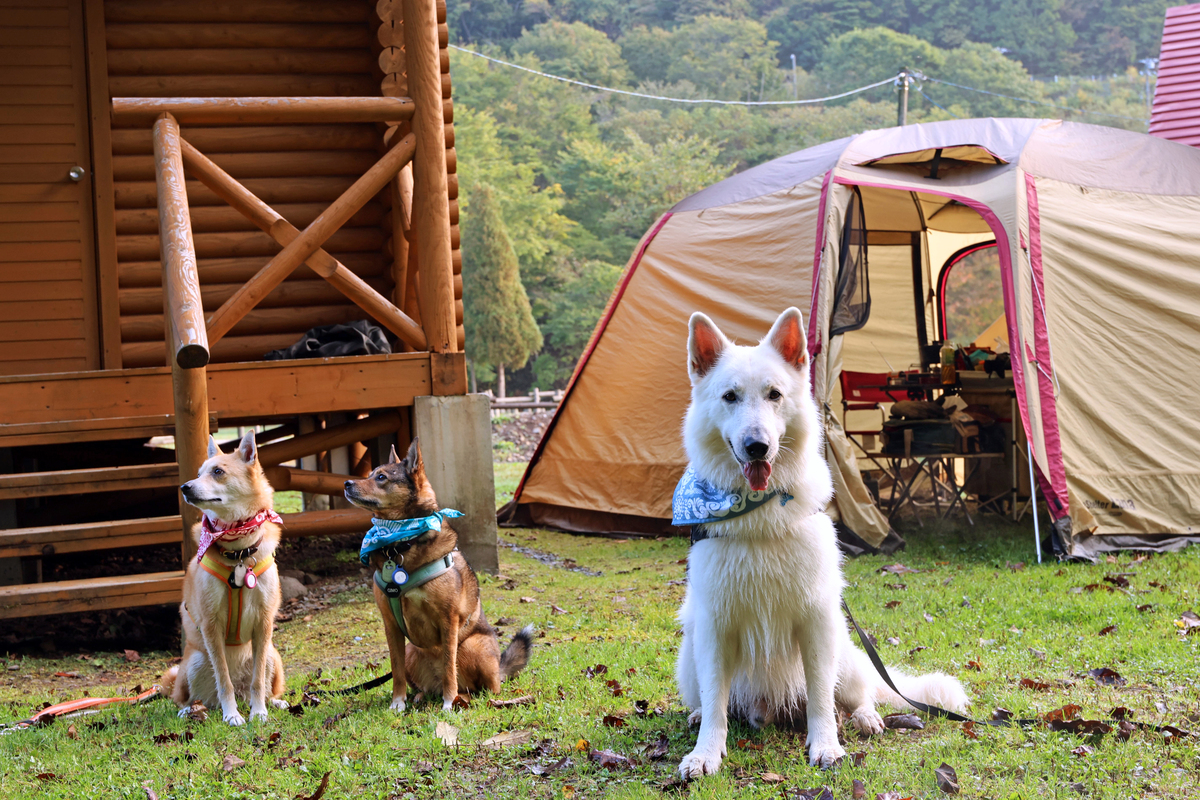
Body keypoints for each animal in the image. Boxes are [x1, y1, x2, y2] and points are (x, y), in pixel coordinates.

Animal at [158, 431, 286, 724]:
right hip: (192, 664)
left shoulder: (264, 622)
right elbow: (223, 678)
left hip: (272, 654)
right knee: (186, 697)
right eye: (198, 473)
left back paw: (273, 702)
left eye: (218, 472)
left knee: (261, 684)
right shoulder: (210, 624)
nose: (185, 487)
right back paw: (191, 709)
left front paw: (258, 712)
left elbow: (258, 681)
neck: (238, 552)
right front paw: (232, 716)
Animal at [348, 438, 535, 714]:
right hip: (412, 650)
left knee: (484, 687)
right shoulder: (391, 625)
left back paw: (465, 697)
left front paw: (449, 703)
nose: (346, 484)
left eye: (381, 477)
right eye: (370, 474)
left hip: (473, 647)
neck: (401, 543)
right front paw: (397, 703)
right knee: (426, 685)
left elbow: (449, 668)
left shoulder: (448, 621)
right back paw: (420, 696)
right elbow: (396, 670)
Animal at [676, 304, 964, 777]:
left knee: (856, 694)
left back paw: (865, 717)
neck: (759, 518)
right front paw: (706, 752)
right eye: (730, 397)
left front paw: (825, 744)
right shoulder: (715, 628)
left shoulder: (815, 622)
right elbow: (717, 700)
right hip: (689, 654)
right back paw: (699, 714)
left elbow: (821, 699)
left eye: (774, 394)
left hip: (842, 645)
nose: (757, 447)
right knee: (710, 698)